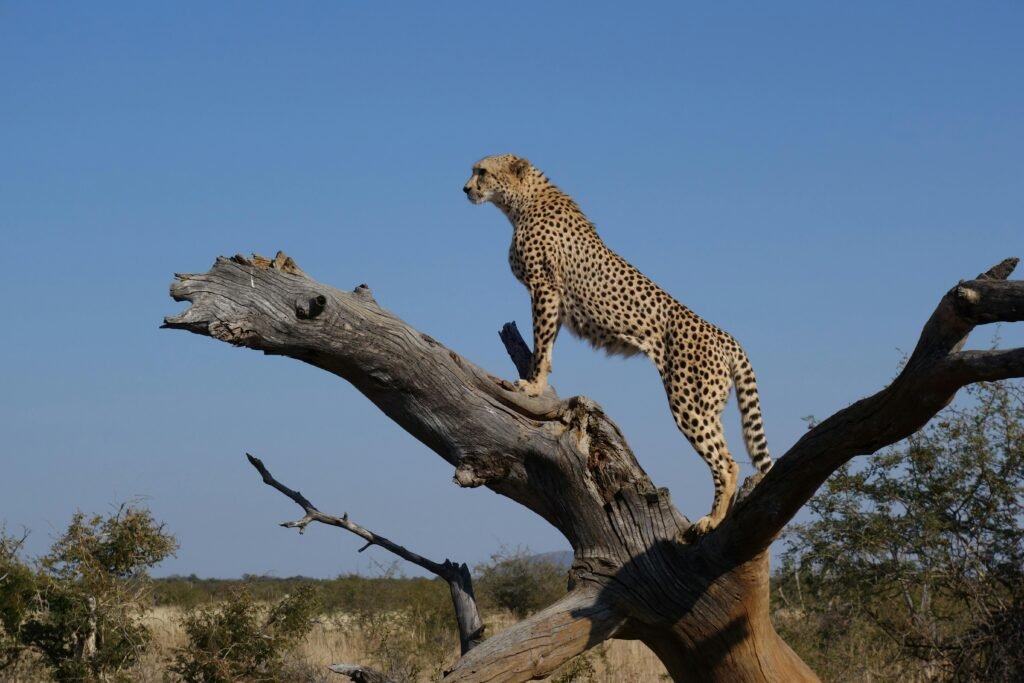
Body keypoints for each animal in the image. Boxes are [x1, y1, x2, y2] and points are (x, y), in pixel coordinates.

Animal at [463, 154, 772, 535]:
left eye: (482, 172)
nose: (465, 188)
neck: (522, 202)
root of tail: (725, 336)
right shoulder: (555, 299)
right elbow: (547, 346)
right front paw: (538, 380)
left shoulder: (545, 289)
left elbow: (542, 342)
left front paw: (532, 385)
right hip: (710, 405)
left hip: (689, 401)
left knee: (727, 462)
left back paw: (711, 520)